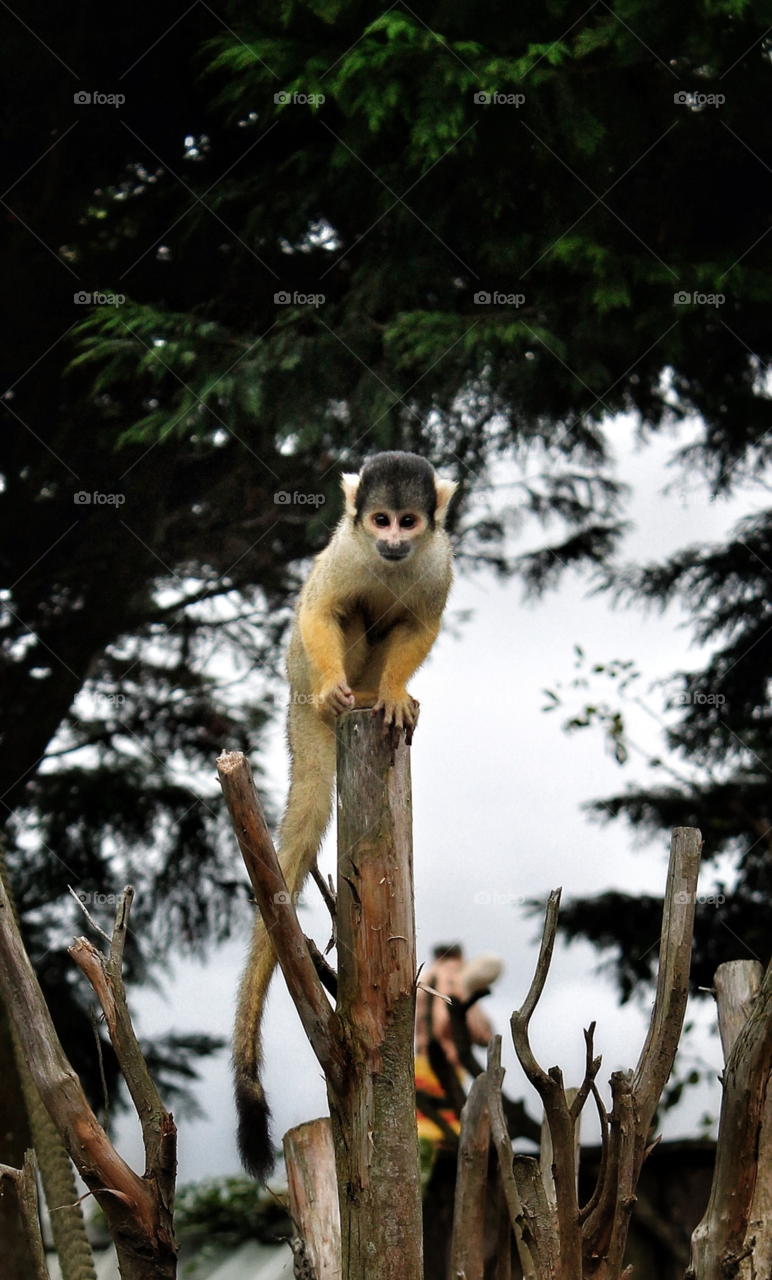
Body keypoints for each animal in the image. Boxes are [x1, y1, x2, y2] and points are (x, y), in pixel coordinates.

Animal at [233, 450, 455, 1177]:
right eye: (379, 520)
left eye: (408, 522)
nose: (391, 542)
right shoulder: (344, 555)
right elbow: (324, 607)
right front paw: (344, 684)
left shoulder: (436, 561)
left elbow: (419, 626)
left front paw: (396, 692)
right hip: (297, 677)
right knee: (344, 621)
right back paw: (344, 695)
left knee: (390, 625)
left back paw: (375, 695)